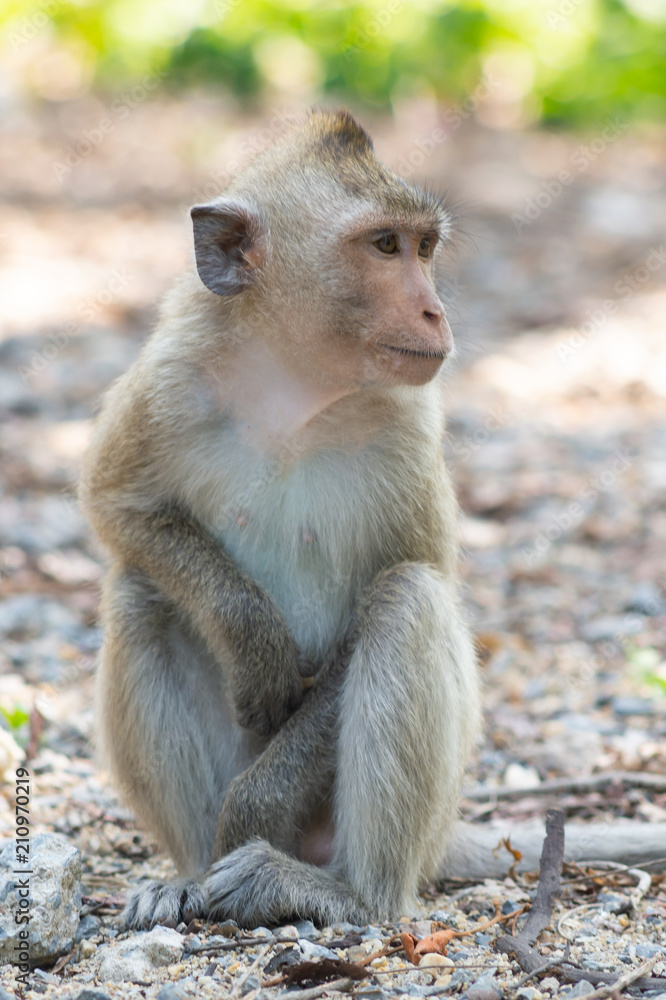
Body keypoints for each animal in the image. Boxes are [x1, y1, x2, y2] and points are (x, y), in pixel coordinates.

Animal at [80, 109, 480, 928]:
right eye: (385, 245)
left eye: (424, 247)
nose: (434, 310)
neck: (294, 389)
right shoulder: (170, 379)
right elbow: (122, 508)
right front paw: (251, 637)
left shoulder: (409, 425)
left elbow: (408, 581)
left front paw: (255, 812)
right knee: (138, 593)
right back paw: (188, 876)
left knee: (407, 599)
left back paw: (343, 892)